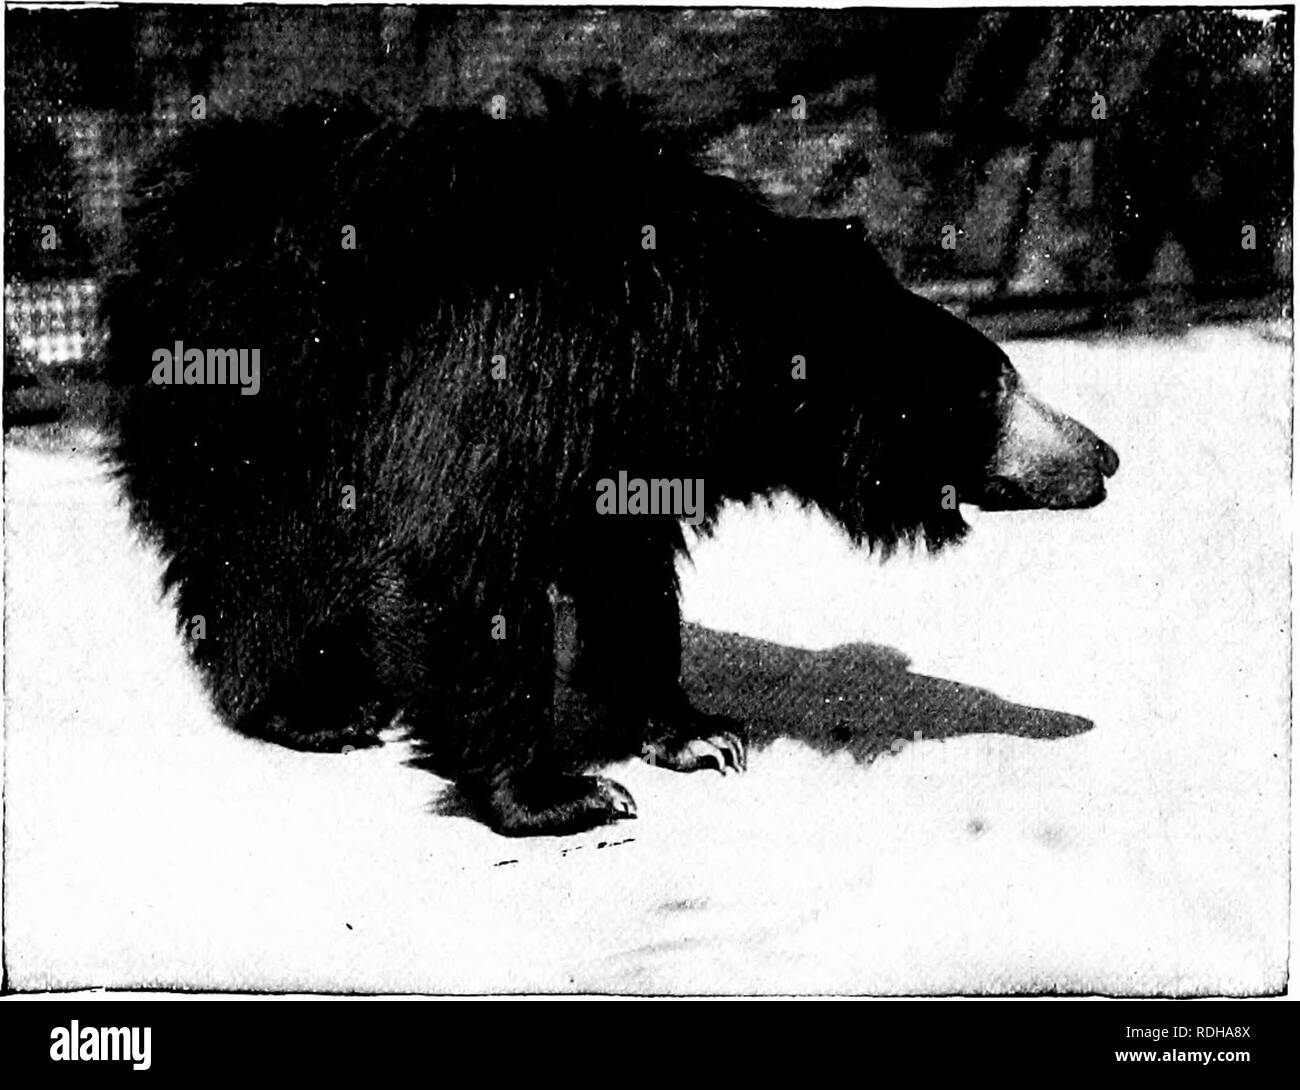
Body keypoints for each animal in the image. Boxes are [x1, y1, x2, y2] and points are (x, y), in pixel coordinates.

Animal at [101, 91, 1118, 836]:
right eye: (997, 385)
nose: (1106, 456)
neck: (695, 335)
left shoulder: (630, 431)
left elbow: (626, 569)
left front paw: (699, 736)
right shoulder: (529, 352)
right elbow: (470, 550)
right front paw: (562, 795)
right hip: (251, 376)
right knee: (262, 549)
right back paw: (309, 706)